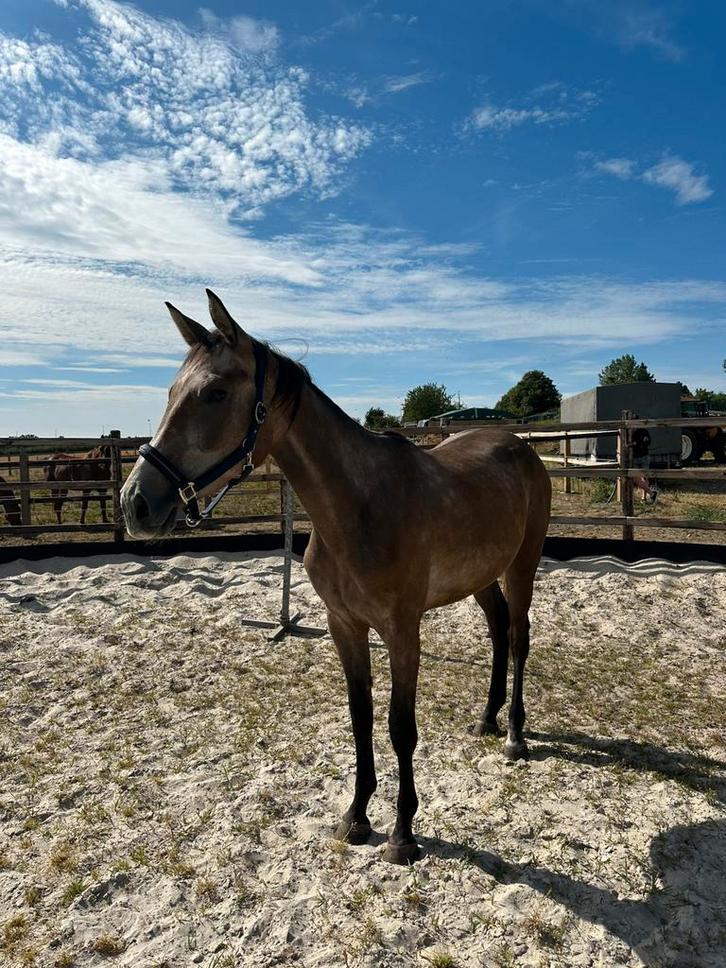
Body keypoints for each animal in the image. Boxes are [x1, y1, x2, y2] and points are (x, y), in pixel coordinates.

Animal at [121, 290, 552, 864]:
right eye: (171, 392)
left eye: (215, 393)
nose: (136, 503)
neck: (358, 507)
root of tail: (521, 445)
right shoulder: (344, 625)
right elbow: (360, 717)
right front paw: (356, 816)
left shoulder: (402, 631)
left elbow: (399, 727)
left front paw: (402, 832)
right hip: (483, 575)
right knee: (499, 630)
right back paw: (487, 718)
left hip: (522, 565)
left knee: (520, 636)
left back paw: (515, 737)